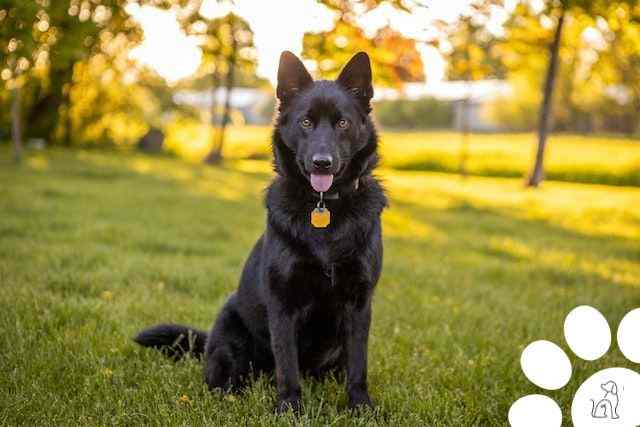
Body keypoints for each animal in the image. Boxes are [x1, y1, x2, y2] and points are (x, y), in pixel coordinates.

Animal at [134, 51, 384, 414]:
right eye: (305, 123)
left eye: (343, 124)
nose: (322, 162)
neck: (323, 206)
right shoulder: (283, 305)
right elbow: (287, 365)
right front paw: (290, 409)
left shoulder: (359, 304)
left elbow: (358, 364)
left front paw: (360, 406)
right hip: (230, 335)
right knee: (226, 380)